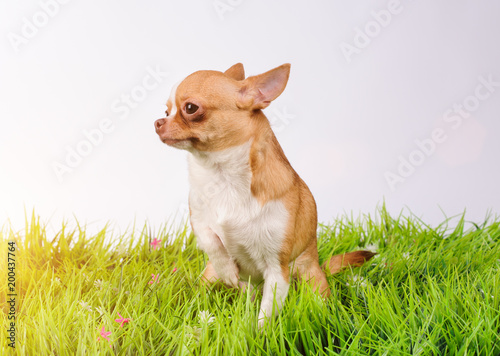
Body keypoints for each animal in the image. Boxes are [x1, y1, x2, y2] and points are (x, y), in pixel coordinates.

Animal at [154, 63, 374, 326]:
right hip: (207, 278)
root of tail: (318, 263)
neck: (223, 176)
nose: (157, 121)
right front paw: (228, 270)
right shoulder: (198, 218)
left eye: (190, 108)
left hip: (311, 279)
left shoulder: (277, 269)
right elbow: (211, 240)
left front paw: (258, 332)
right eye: (166, 110)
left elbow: (267, 312)